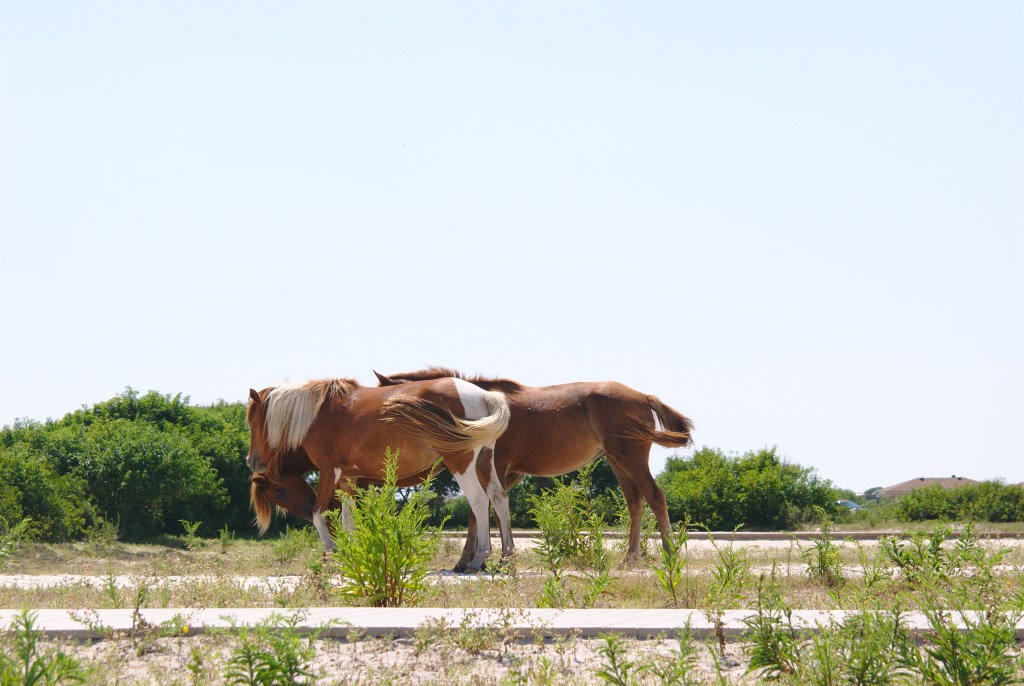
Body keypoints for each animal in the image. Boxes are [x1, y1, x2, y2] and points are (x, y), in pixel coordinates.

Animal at [247, 378, 512, 573]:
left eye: (278, 493)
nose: (252, 461)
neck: (318, 415)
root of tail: (482, 395)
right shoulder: (348, 479)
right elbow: (349, 521)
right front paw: (353, 556)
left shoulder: (330, 473)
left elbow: (319, 515)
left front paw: (332, 555)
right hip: (484, 462)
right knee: (499, 499)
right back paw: (506, 557)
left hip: (461, 462)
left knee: (479, 501)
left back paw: (478, 559)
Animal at [372, 368, 692, 565]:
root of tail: (644, 397)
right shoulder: (504, 472)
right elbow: (486, 510)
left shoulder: (495, 467)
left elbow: (481, 510)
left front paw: (480, 559)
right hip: (617, 460)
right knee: (635, 502)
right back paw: (630, 557)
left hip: (630, 458)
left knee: (654, 496)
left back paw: (668, 553)